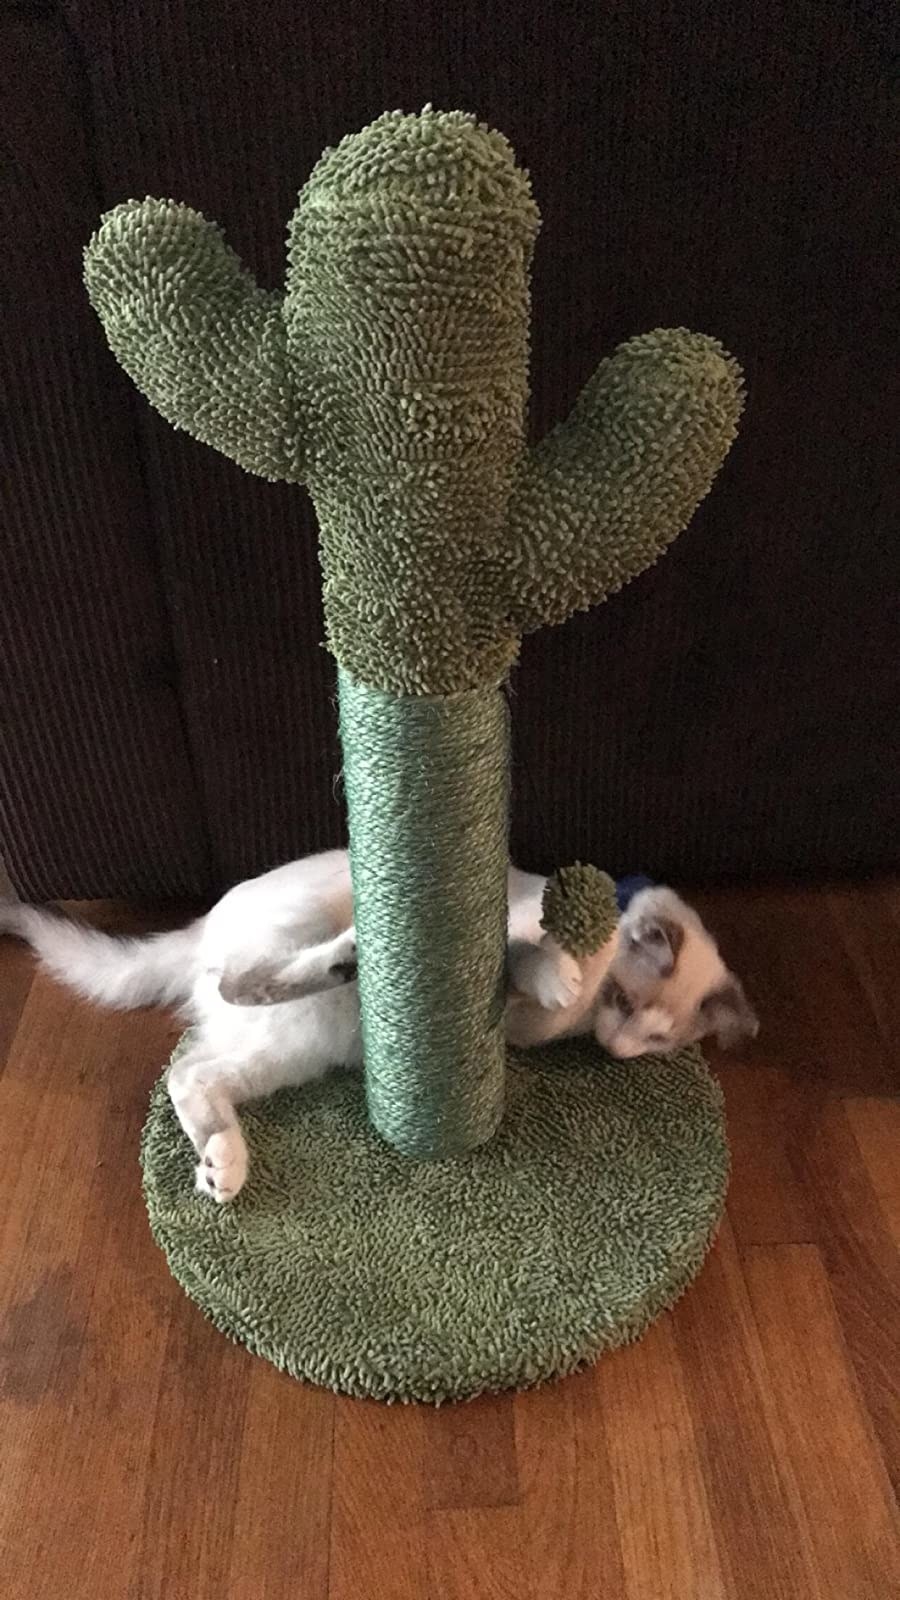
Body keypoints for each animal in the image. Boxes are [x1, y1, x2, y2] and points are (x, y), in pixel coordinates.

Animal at [3, 851, 752, 1203]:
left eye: (654, 1043)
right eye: (624, 1002)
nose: (616, 1048)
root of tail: (195, 932)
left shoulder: (529, 1031)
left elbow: (549, 998)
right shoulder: (509, 940)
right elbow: (542, 959)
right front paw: (566, 966)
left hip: (290, 1048)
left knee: (195, 1073)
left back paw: (223, 1167)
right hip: (313, 916)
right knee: (243, 978)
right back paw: (348, 956)